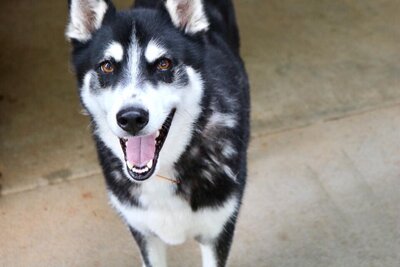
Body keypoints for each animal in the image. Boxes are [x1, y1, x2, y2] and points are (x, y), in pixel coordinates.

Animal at [66, 1, 248, 266]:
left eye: (164, 64)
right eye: (107, 66)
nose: (132, 118)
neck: (165, 170)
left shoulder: (218, 232)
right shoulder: (143, 233)